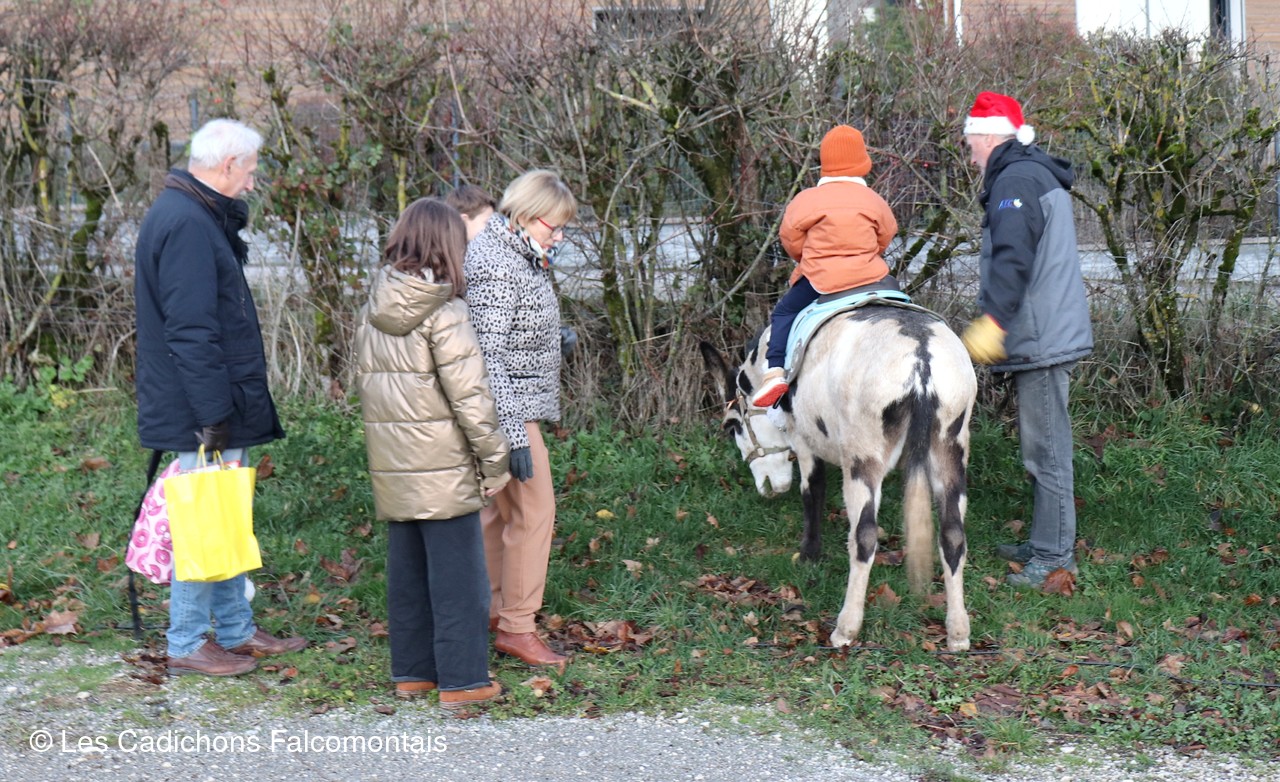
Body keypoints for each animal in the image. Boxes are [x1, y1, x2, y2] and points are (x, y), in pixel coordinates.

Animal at [700, 302, 977, 651]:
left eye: (732, 426)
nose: (766, 487)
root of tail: (921, 360)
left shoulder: (802, 438)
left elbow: (812, 489)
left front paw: (808, 554)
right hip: (950, 449)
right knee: (953, 535)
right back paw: (958, 633)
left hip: (862, 456)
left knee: (864, 536)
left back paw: (846, 628)